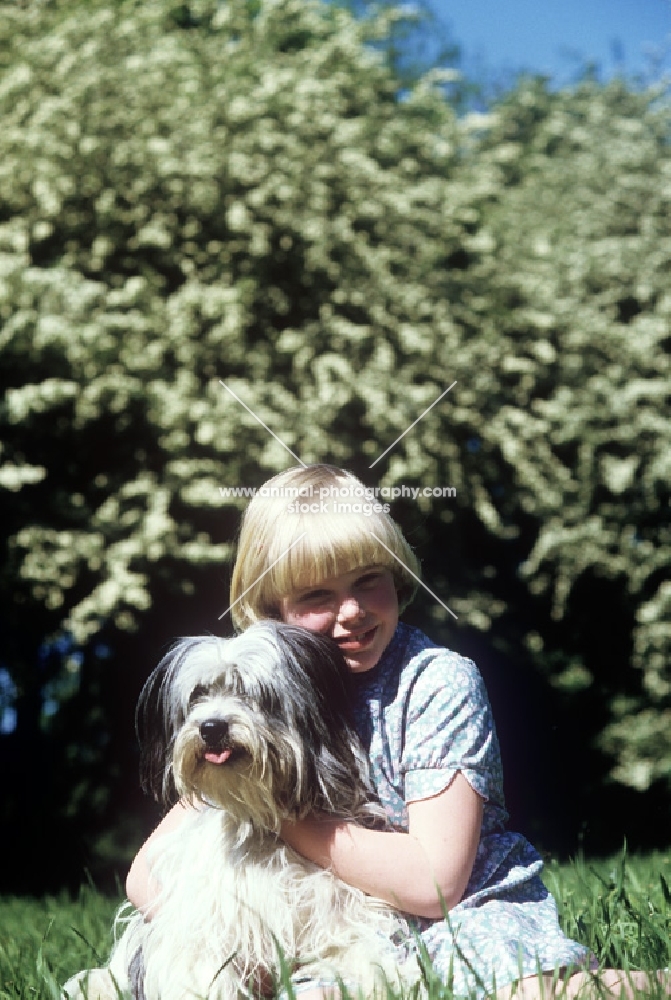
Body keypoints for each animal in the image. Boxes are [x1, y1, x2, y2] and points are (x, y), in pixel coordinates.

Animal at [64, 620, 420, 996]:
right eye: (198, 694)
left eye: (255, 692)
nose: (211, 727)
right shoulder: (205, 935)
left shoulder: (344, 917)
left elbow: (369, 959)